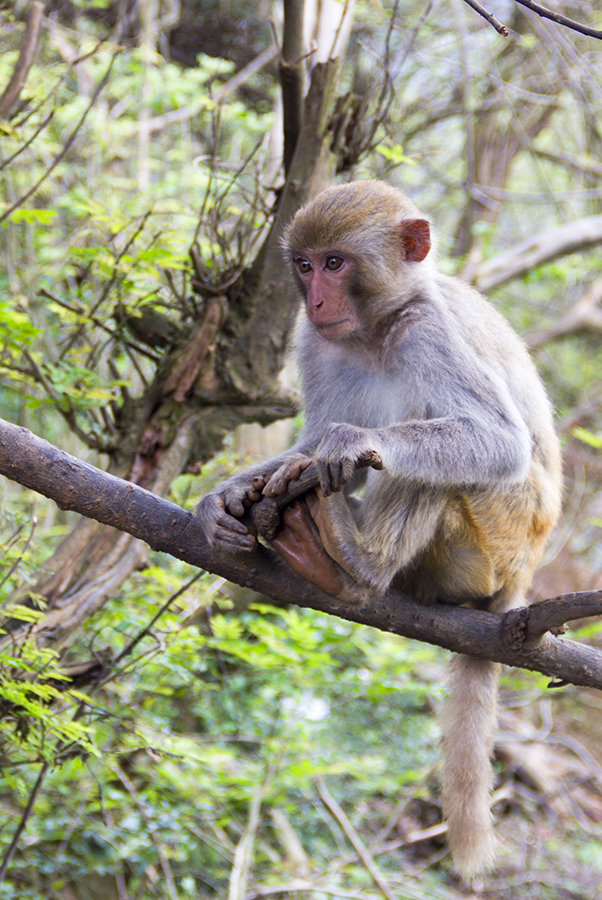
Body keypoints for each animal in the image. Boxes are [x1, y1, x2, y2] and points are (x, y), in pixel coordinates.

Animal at [198, 178, 564, 880]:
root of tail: (522, 583)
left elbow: (496, 441)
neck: (373, 330)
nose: (315, 299)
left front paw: (350, 442)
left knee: (434, 457)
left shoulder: (428, 332)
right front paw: (224, 497)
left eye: (336, 264)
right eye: (306, 264)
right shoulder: (315, 343)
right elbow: (308, 444)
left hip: (497, 541)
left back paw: (356, 559)